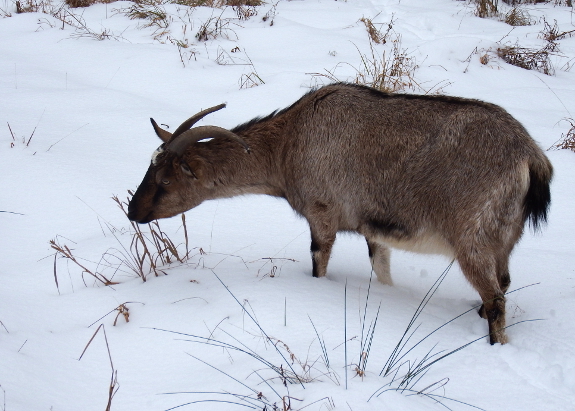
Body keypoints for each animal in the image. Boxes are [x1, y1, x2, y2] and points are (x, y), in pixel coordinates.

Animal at [129, 83, 552, 344]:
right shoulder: (374, 228)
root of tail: (530, 157)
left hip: (472, 239)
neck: (289, 143)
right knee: (504, 282)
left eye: (165, 180)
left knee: (496, 298)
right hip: (503, 240)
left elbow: (319, 262)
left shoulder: (322, 215)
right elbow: (381, 269)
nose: (134, 211)